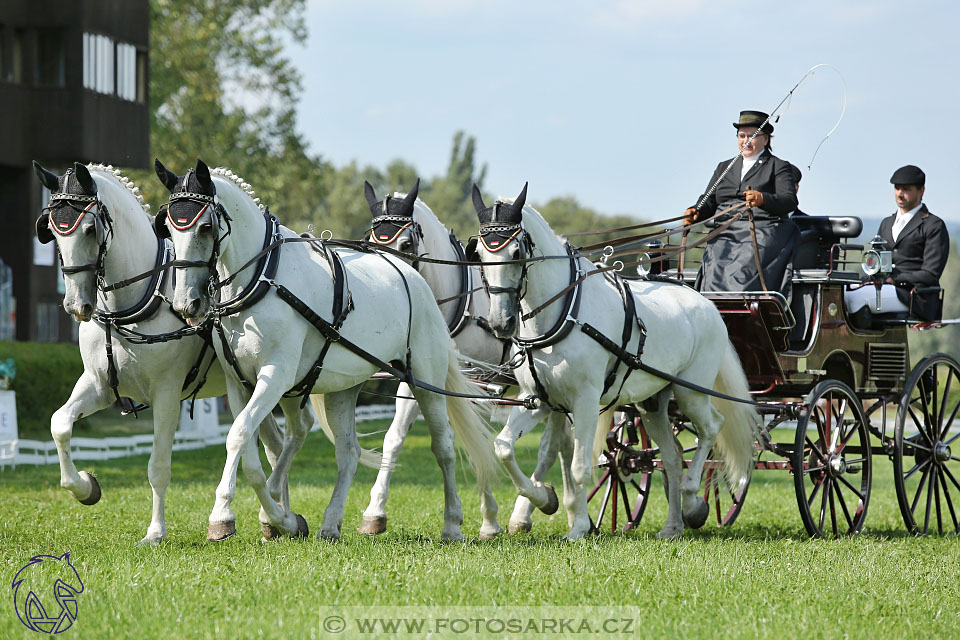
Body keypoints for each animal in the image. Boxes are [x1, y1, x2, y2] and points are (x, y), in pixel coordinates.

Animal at [33, 161, 288, 544]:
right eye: (51, 229)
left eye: (90, 229)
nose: (77, 304)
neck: (131, 304)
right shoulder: (98, 385)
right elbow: (59, 424)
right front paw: (85, 487)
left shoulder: (167, 394)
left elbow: (158, 467)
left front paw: (155, 532)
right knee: (277, 445)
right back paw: (278, 518)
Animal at [156, 160, 502, 540]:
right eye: (168, 229)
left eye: (205, 226)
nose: (186, 302)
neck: (261, 280)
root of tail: (414, 278)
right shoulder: (239, 383)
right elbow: (247, 448)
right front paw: (272, 514)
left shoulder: (276, 375)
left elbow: (239, 436)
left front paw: (232, 515)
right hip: (340, 387)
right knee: (346, 451)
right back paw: (330, 521)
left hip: (424, 380)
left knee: (443, 446)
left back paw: (452, 523)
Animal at [360, 182, 572, 536]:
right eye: (371, 244)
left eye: (406, 244)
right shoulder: (420, 377)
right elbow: (394, 438)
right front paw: (375, 512)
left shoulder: (478, 384)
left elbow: (476, 443)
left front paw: (488, 520)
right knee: (562, 442)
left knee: (555, 445)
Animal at [468, 185, 760, 540]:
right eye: (480, 255)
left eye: (515, 253)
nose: (501, 322)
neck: (562, 314)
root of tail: (708, 304)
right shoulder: (537, 400)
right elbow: (504, 447)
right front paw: (544, 498)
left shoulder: (585, 401)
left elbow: (580, 465)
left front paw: (579, 527)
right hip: (653, 405)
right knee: (673, 456)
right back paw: (672, 526)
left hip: (691, 392)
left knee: (712, 428)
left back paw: (693, 502)